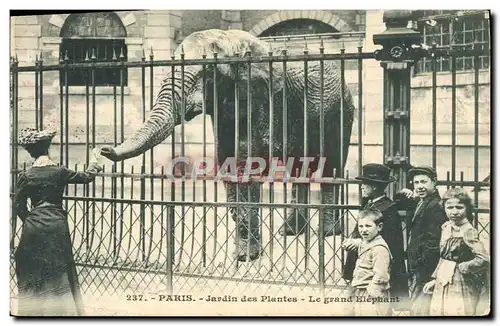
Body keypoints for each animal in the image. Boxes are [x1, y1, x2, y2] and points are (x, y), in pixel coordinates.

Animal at [99, 28, 354, 262]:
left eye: (209, 72)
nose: (103, 149)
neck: (232, 41)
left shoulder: (260, 100)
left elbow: (247, 165)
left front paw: (246, 257)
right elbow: (229, 164)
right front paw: (243, 255)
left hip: (340, 113)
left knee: (331, 165)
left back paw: (327, 233)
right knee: (299, 169)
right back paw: (289, 231)